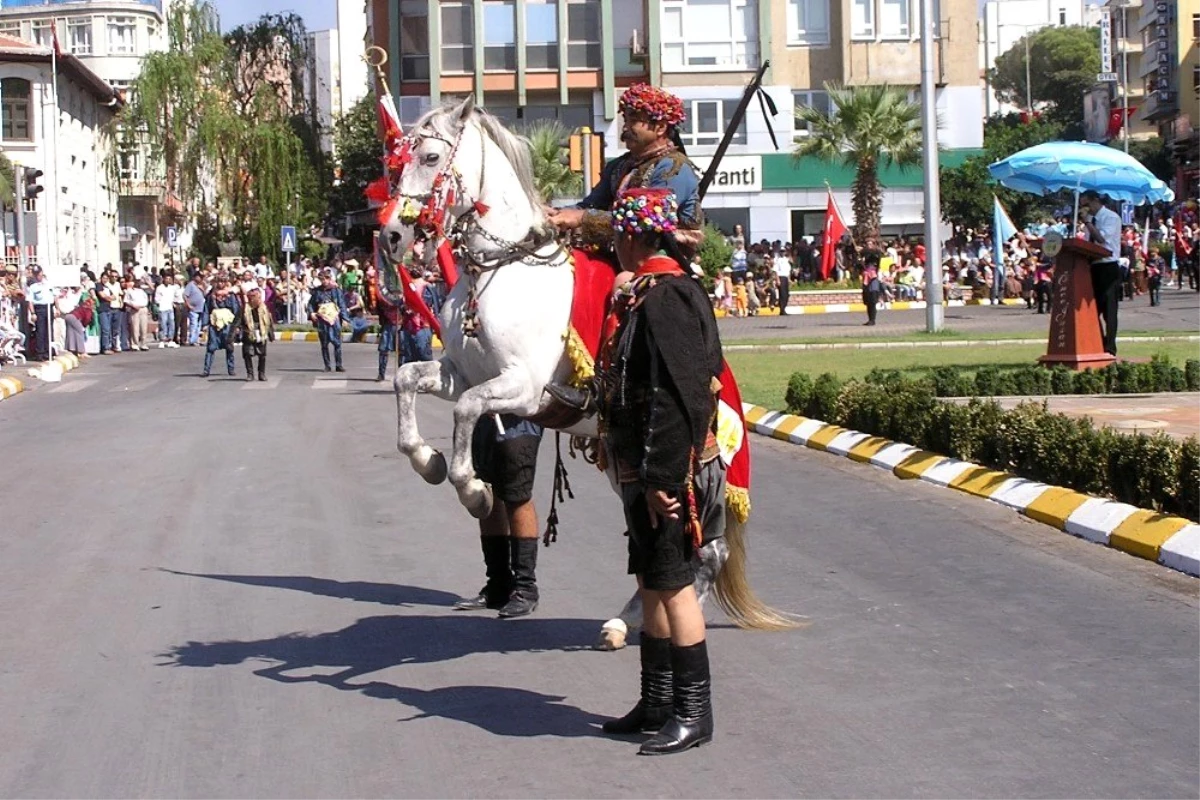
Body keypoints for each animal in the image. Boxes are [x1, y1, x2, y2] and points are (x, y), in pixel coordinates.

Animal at [379, 97, 801, 647]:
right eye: (398, 162)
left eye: (430, 157)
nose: (390, 234)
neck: (500, 268)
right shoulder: (459, 374)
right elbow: (406, 379)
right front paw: (427, 460)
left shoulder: (522, 388)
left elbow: (468, 415)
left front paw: (473, 489)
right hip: (625, 466)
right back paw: (627, 620)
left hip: (693, 468)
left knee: (706, 551)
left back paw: (644, 619)